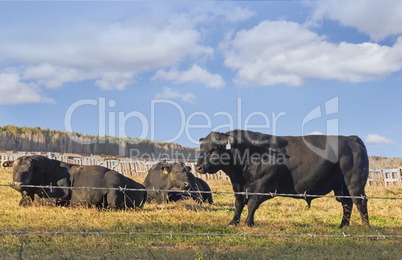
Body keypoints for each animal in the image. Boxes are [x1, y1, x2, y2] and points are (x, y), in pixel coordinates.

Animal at [11, 154, 148, 209]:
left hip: (114, 188)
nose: (17, 184)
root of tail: (141, 186)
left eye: (29, 170)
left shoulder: (62, 194)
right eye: (13, 168)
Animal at [196, 130, 370, 228]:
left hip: (354, 183)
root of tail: (350, 139)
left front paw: (248, 223)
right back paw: (343, 226)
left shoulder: (264, 184)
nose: (198, 167)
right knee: (347, 204)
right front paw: (234, 222)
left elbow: (252, 203)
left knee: (360, 201)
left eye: (214, 149)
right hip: (341, 186)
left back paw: (365, 226)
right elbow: (238, 204)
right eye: (201, 148)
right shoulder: (239, 186)